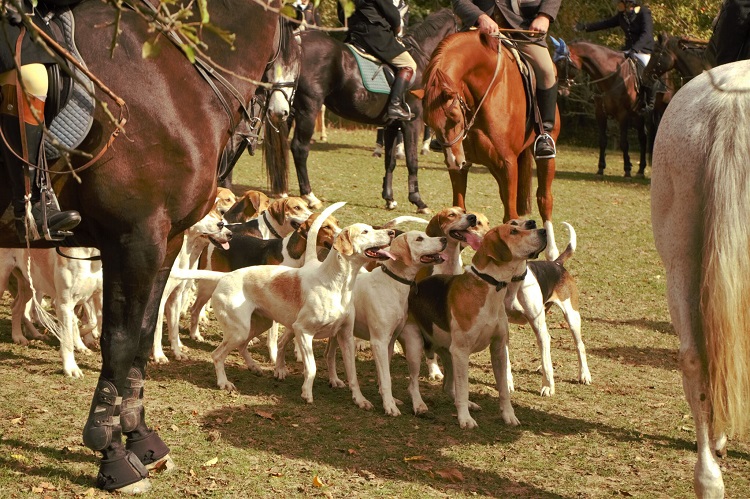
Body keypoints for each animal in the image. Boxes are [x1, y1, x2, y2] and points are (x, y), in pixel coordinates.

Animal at [0, 0, 284, 492]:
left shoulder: (164, 240)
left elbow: (144, 331)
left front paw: (139, 436)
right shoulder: (133, 238)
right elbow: (118, 339)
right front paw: (110, 452)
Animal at [270, 8, 458, 215]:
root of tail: (298, 40)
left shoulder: (392, 125)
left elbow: (390, 161)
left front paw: (389, 199)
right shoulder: (411, 122)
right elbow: (412, 161)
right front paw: (418, 201)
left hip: (288, 108)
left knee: (281, 145)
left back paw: (283, 192)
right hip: (309, 108)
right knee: (299, 148)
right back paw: (310, 197)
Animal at [424, 30, 560, 260]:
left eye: (453, 116)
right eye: (428, 122)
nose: (453, 161)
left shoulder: (507, 165)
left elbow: (511, 216)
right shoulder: (463, 165)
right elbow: (460, 207)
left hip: (544, 158)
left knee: (545, 199)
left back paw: (552, 251)